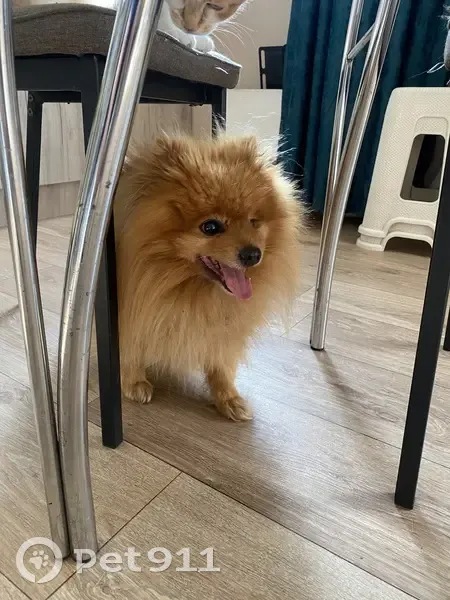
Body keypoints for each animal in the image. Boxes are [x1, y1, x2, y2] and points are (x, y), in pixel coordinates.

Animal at [114, 134, 303, 421]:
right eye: (210, 227)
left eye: (253, 222)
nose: (253, 254)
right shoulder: (130, 307)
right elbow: (130, 344)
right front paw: (134, 381)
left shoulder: (221, 327)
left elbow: (220, 361)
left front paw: (228, 397)